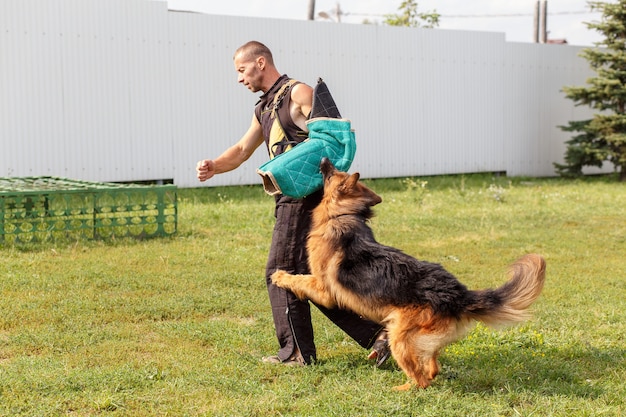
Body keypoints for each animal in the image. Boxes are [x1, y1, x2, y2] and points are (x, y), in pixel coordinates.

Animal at [270, 158, 544, 390]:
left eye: (333, 174)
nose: (325, 159)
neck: (343, 214)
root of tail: (458, 294)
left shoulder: (323, 289)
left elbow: (300, 279)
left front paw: (280, 276)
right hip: (420, 338)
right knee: (431, 366)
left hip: (401, 338)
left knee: (422, 380)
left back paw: (402, 388)